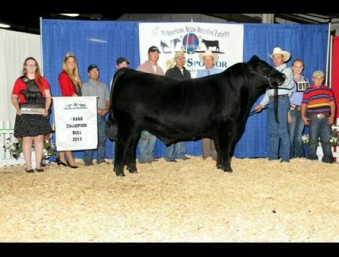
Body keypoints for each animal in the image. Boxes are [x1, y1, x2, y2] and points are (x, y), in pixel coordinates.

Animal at [107, 55, 286, 176]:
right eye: (264, 68)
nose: (283, 76)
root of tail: (127, 71)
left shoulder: (219, 131)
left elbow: (219, 149)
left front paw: (219, 167)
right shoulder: (228, 128)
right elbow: (226, 149)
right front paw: (228, 169)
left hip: (136, 127)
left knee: (131, 146)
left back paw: (132, 170)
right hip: (127, 123)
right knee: (122, 144)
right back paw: (119, 172)